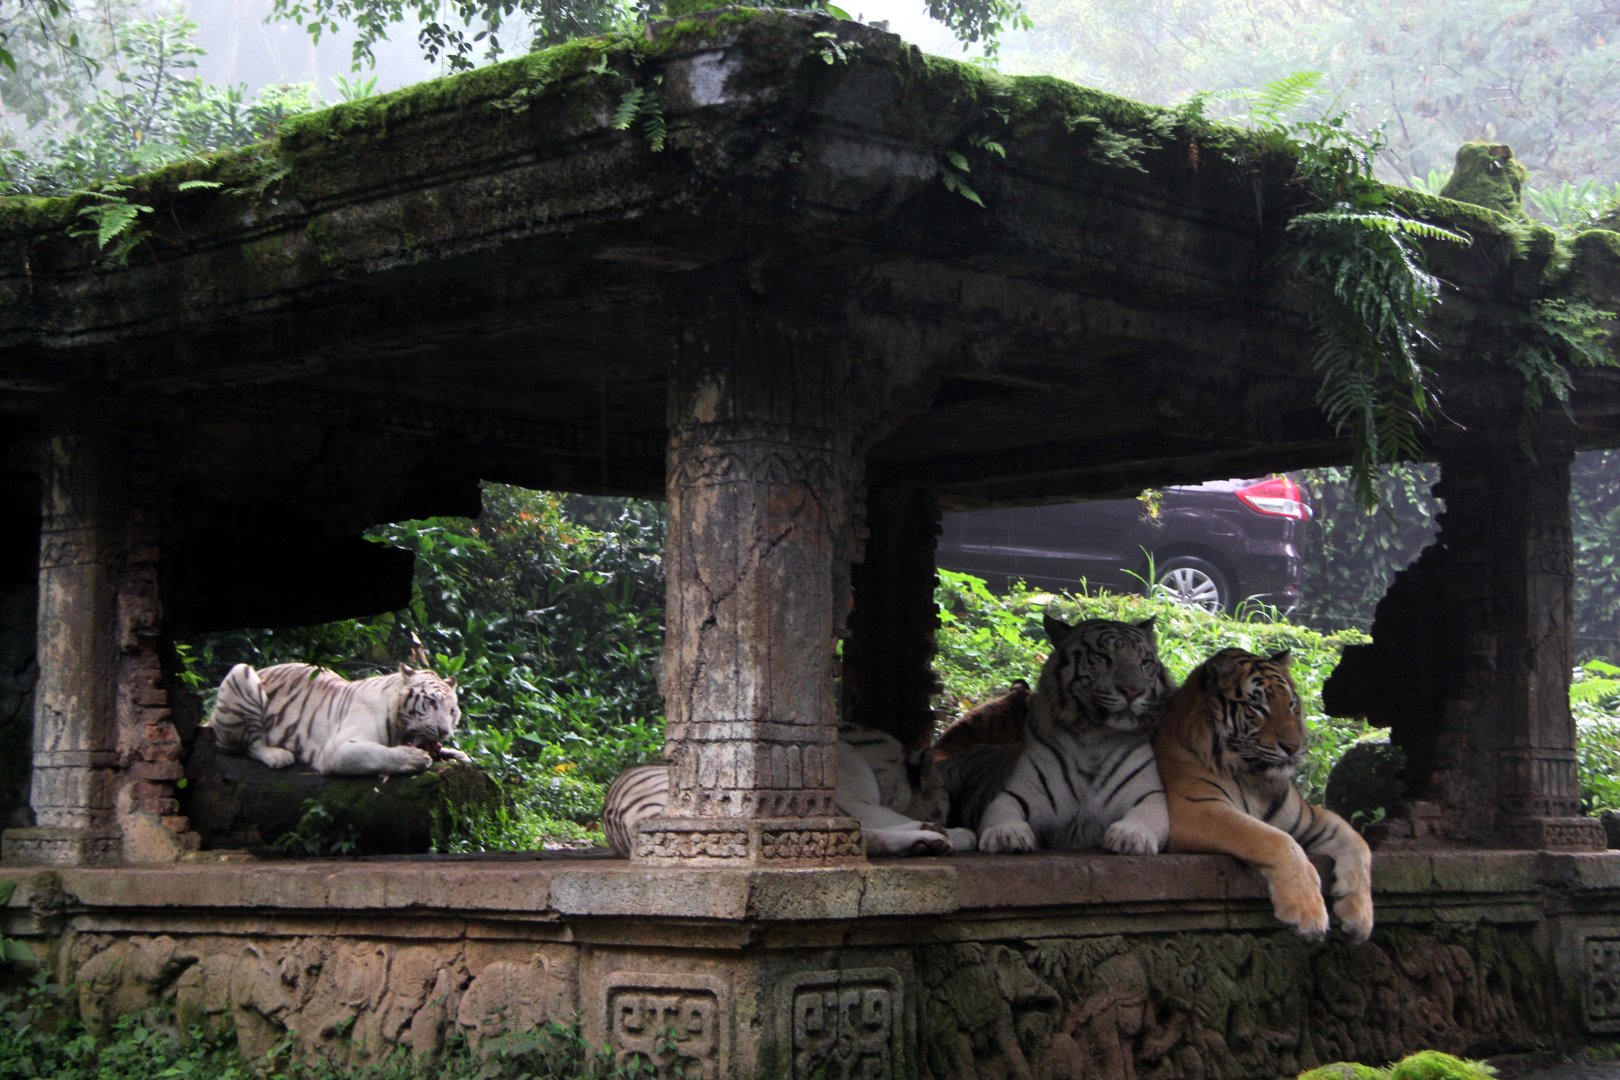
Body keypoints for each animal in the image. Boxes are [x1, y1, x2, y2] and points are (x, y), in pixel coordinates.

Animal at [207, 662, 471, 776]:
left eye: (452, 711)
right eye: (432, 702)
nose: (444, 731)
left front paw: (459, 755)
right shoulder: (336, 749)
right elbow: (379, 754)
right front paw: (414, 758)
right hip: (241, 672)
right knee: (249, 745)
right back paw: (277, 756)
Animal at [600, 722, 976, 858]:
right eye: (944, 801)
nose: (944, 816)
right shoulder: (856, 800)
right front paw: (958, 831)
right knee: (854, 837)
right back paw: (931, 837)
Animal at [970, 616, 1175, 855]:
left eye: (1145, 662)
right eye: (1103, 657)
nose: (1133, 691)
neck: (1095, 737)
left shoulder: (1148, 794)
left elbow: (1146, 815)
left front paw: (1131, 837)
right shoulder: (1017, 793)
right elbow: (1003, 813)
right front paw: (1006, 835)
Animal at [1154, 647, 1373, 941]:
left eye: (1291, 704)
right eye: (1257, 707)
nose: (1293, 747)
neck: (1255, 778)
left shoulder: (1309, 818)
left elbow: (1358, 842)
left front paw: (1359, 916)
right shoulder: (1197, 809)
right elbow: (1276, 840)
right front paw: (1307, 913)